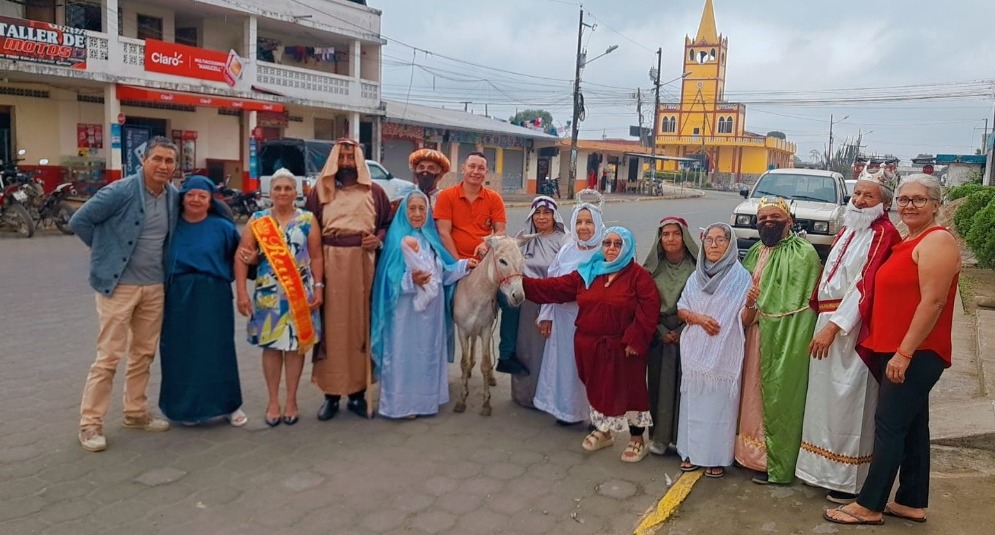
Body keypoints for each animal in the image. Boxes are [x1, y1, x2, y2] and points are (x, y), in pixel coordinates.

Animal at [452, 235, 527, 416]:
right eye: (502, 261)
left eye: (522, 260)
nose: (518, 296)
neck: (475, 294)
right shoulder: (462, 330)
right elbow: (463, 363)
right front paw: (461, 400)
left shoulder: (486, 329)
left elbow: (485, 364)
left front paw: (486, 403)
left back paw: (490, 377)